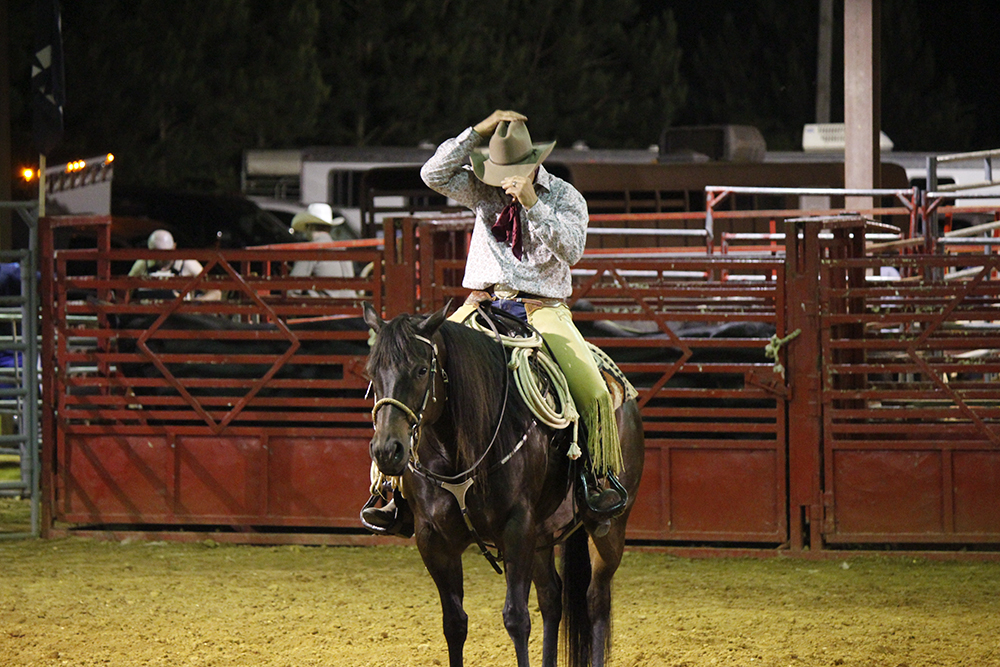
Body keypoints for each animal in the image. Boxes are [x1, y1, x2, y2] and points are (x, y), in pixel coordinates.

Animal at [364, 304, 644, 667]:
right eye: (372, 373)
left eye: (422, 369)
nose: (387, 450)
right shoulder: (433, 539)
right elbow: (454, 623)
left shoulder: (516, 529)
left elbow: (516, 618)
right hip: (542, 537)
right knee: (552, 598)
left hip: (608, 529)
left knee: (596, 599)